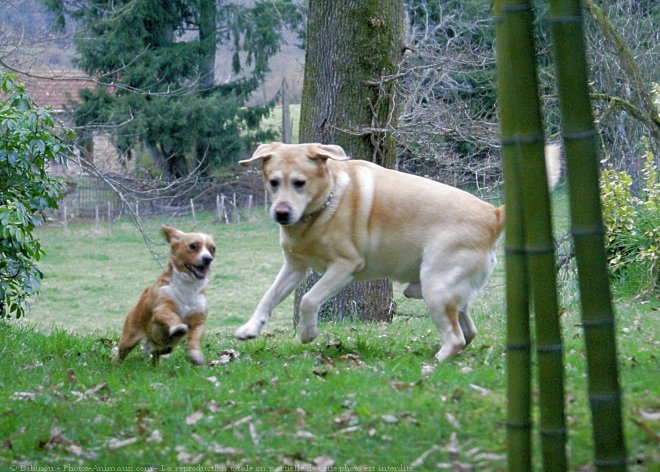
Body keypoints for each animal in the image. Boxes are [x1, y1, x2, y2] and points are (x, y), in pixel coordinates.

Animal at [114, 227, 215, 366]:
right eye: (193, 246)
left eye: (213, 249)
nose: (208, 259)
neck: (188, 287)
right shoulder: (161, 309)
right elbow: (172, 316)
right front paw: (178, 327)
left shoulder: (199, 320)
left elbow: (195, 337)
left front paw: (195, 354)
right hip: (129, 339)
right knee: (121, 354)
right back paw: (116, 366)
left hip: (164, 346)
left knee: (159, 352)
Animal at [235, 142, 560, 364]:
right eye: (273, 182)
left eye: (299, 183)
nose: (281, 213)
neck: (323, 207)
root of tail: (493, 214)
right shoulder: (294, 267)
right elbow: (268, 298)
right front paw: (250, 328)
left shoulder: (344, 267)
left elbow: (308, 300)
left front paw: (307, 333)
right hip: (442, 288)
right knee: (467, 329)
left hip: (436, 287)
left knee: (456, 337)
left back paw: (435, 361)